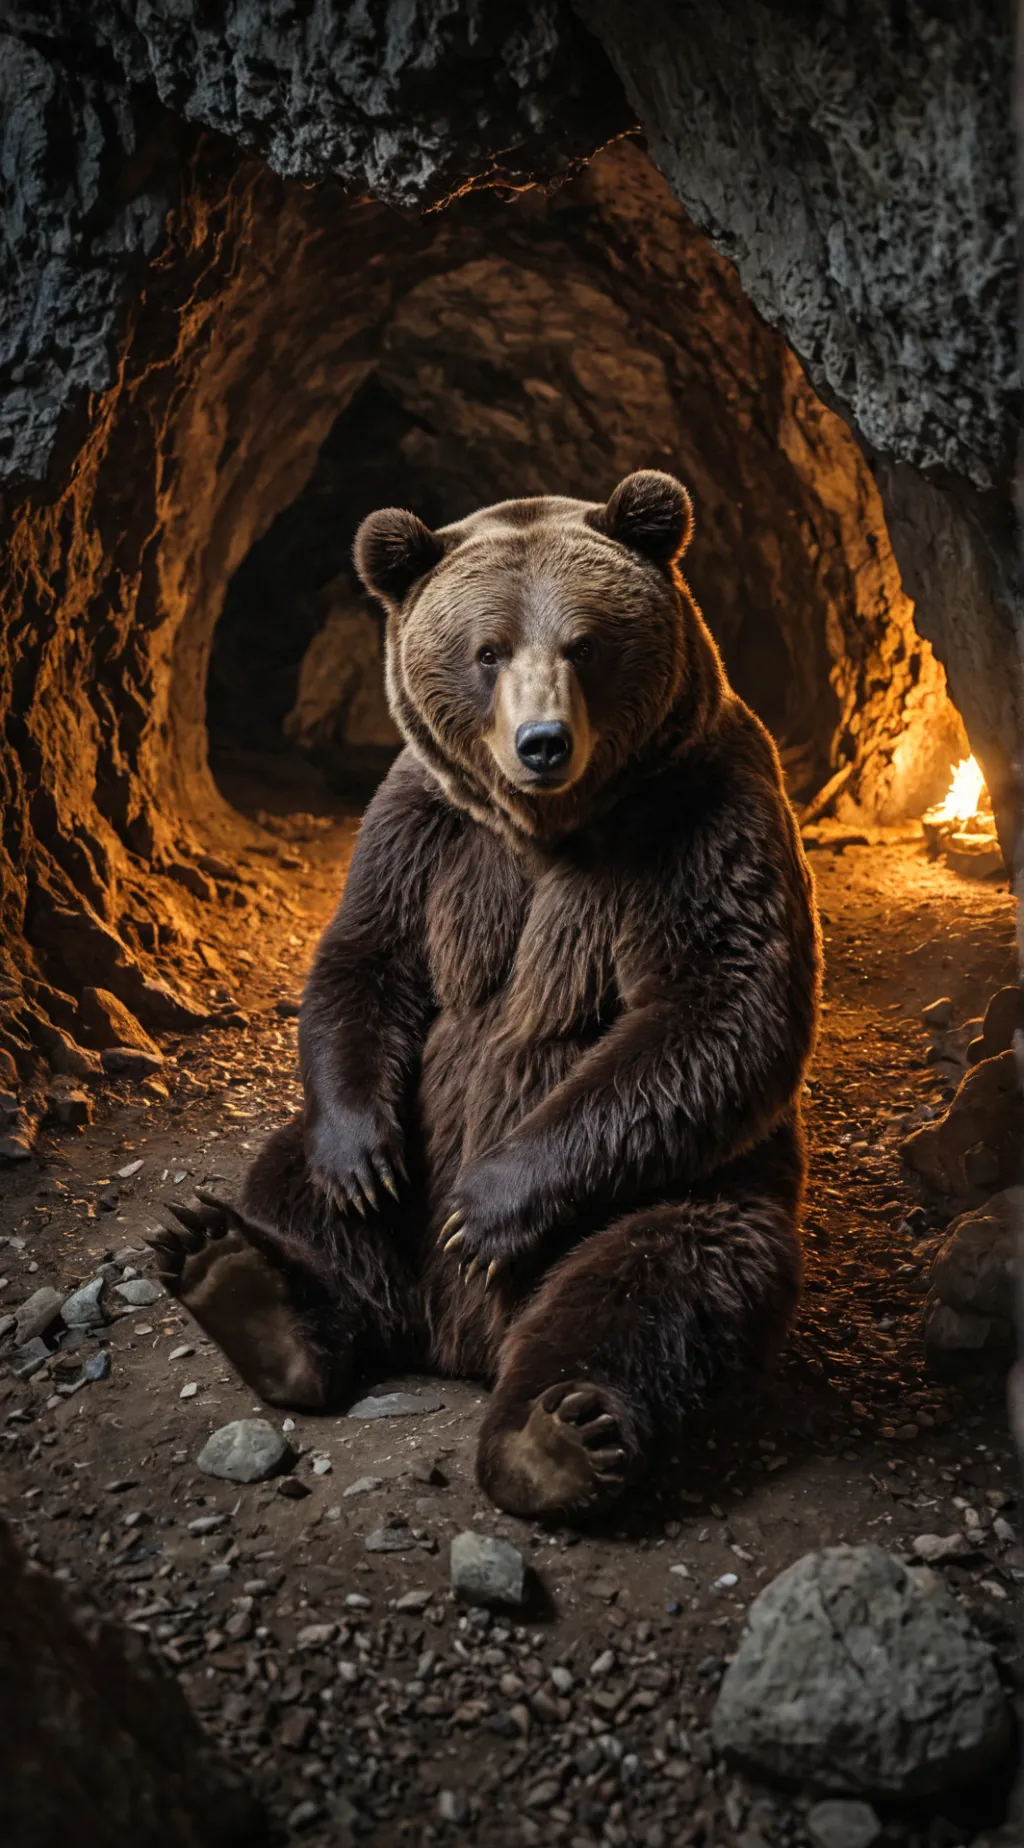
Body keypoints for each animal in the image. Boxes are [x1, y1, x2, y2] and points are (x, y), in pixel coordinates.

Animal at [152, 471, 821, 1520]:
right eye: (486, 650)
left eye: (585, 642)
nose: (542, 742)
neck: (549, 824)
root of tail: (457, 1341)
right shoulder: (423, 823)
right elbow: (367, 955)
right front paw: (362, 1162)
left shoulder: (706, 811)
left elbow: (721, 1002)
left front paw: (488, 1207)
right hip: (385, 1173)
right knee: (293, 1189)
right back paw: (247, 1285)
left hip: (693, 1184)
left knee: (668, 1272)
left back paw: (562, 1430)